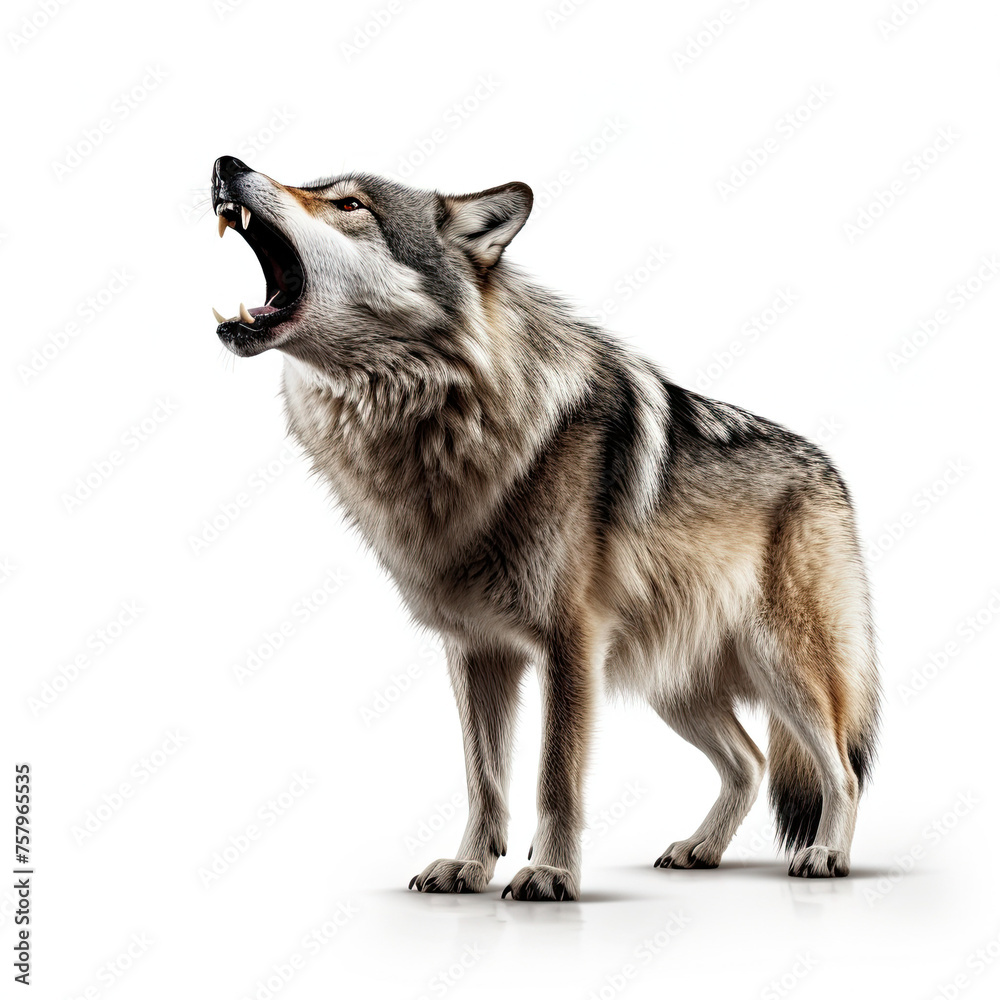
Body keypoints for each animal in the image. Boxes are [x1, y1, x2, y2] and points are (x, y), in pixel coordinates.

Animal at [210, 154, 880, 901]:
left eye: (349, 204)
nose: (227, 164)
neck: (446, 421)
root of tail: (831, 473)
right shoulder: (476, 651)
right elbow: (485, 779)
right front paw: (469, 867)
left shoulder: (570, 643)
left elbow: (555, 776)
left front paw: (551, 872)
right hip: (674, 689)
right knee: (751, 761)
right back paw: (699, 849)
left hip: (787, 669)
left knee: (840, 770)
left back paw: (825, 856)